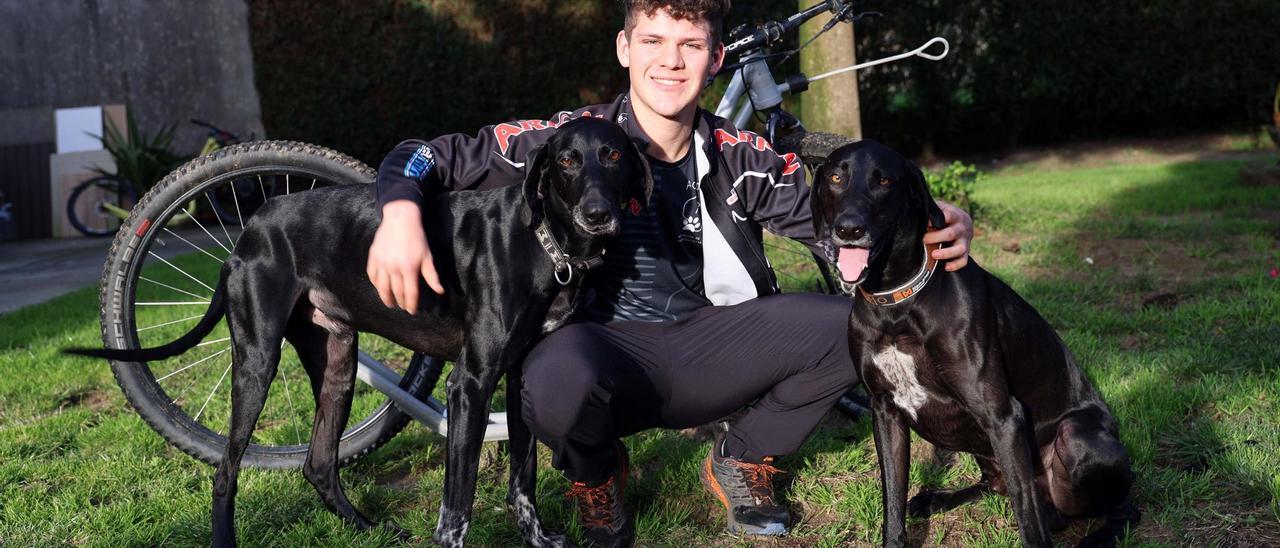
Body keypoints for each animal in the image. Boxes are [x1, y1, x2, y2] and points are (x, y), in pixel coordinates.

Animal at [70, 117, 650, 545]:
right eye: (568, 160)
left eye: (614, 155)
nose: (598, 214)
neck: (545, 242)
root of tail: (252, 227)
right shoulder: (470, 384)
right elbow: (457, 504)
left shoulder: (519, 375)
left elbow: (522, 482)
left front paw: (540, 540)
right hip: (256, 364)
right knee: (225, 473)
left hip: (338, 364)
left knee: (318, 465)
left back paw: (367, 530)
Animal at [808, 141, 1141, 548]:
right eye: (835, 177)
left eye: (884, 180)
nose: (849, 229)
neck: (897, 304)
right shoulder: (885, 412)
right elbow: (893, 501)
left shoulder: (1002, 416)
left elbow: (1028, 519)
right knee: (997, 485)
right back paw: (937, 499)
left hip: (1075, 437)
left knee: (1120, 508)